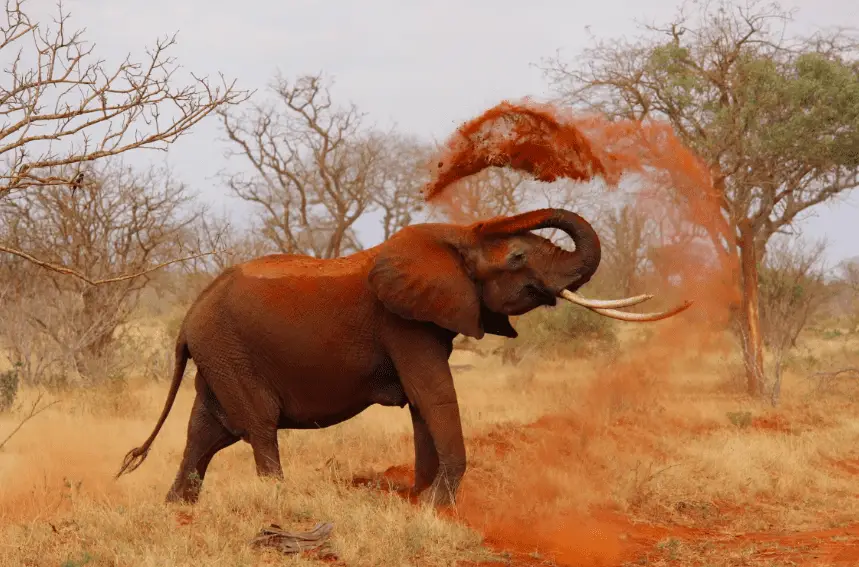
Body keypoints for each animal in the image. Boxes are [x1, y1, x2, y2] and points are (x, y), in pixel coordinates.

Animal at [116, 207, 692, 506]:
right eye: (518, 257)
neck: (452, 239)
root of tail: (189, 317)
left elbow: (423, 404)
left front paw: (419, 499)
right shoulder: (403, 323)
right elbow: (433, 394)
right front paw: (438, 507)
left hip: (219, 354)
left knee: (206, 430)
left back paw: (178, 510)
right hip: (230, 351)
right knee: (256, 425)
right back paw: (279, 503)